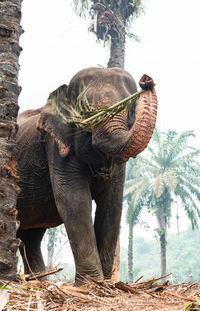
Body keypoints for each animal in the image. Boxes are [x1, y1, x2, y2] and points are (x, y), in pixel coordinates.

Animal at [15, 68, 157, 286]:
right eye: (84, 110)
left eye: (131, 107)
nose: (147, 81)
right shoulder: (57, 146)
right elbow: (74, 200)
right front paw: (90, 283)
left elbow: (112, 205)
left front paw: (106, 283)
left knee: (30, 237)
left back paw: (38, 281)